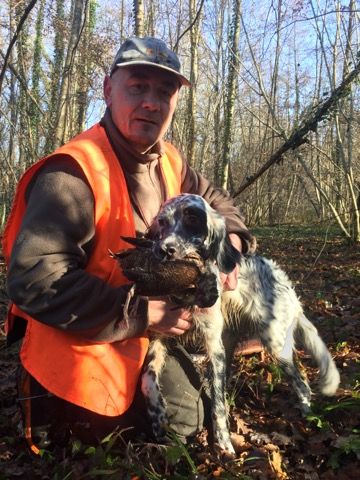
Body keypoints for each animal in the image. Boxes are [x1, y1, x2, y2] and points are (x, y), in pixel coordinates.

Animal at [139, 193, 338, 452]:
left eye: (192, 218)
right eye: (162, 222)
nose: (165, 250)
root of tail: (288, 287)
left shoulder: (213, 344)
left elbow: (217, 404)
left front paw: (224, 445)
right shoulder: (161, 335)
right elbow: (147, 379)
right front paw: (157, 416)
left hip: (275, 344)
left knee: (302, 381)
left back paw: (308, 416)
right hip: (231, 341)